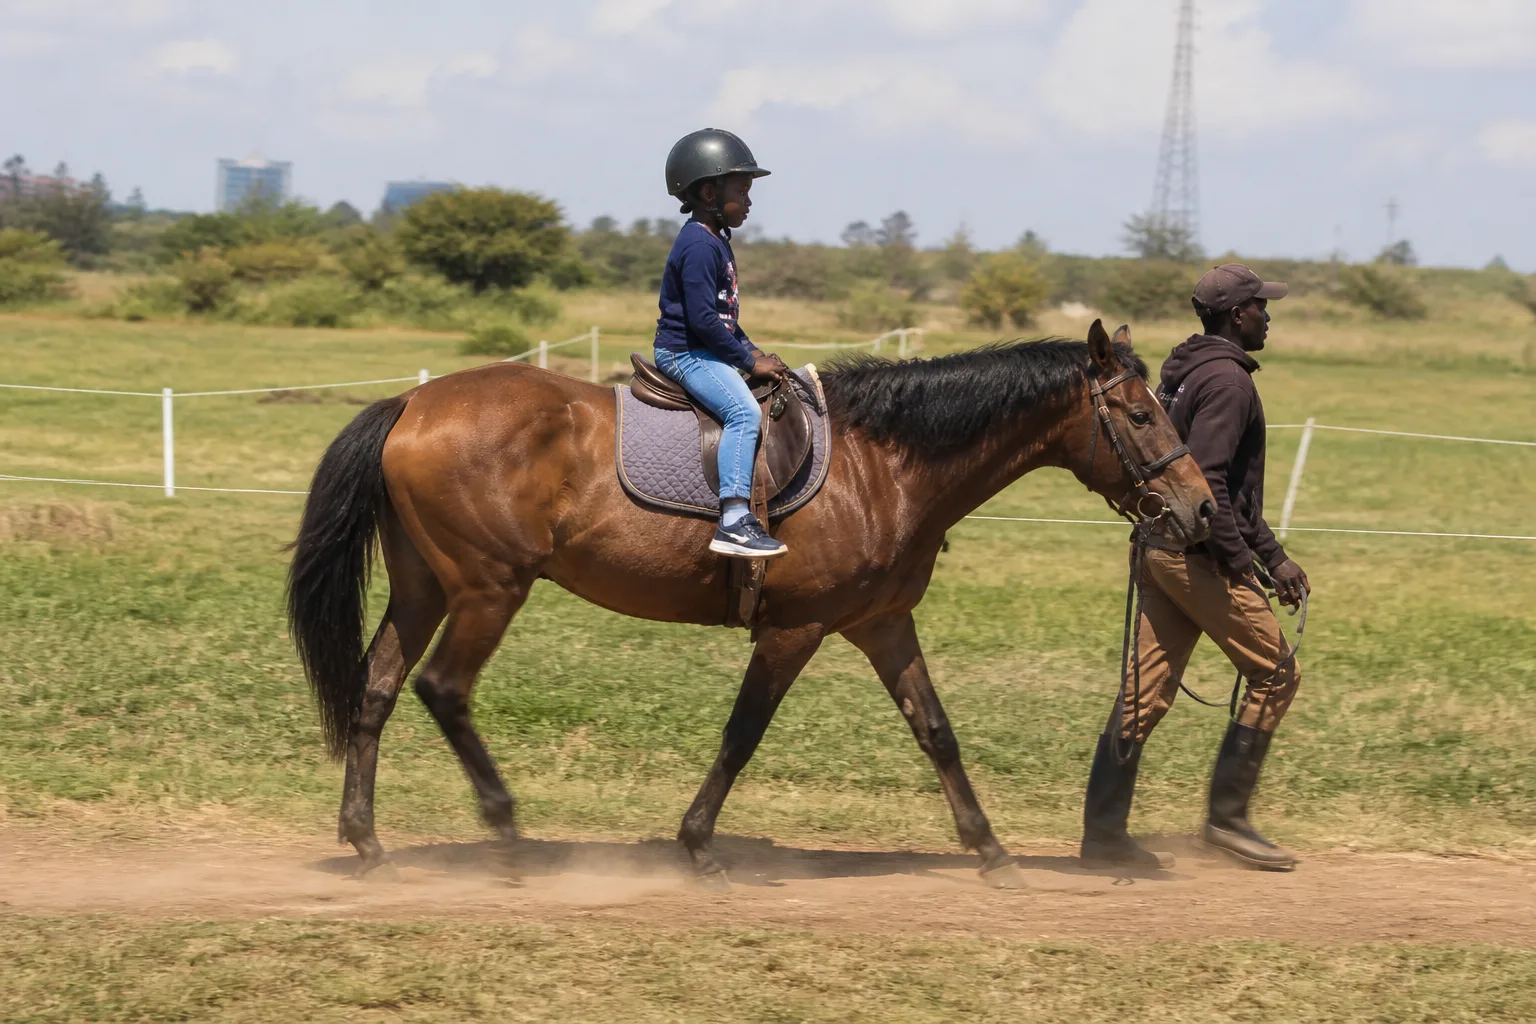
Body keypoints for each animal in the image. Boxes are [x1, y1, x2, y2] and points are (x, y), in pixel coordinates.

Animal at [287, 319, 1215, 888]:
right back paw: (510, 834)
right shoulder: (794, 629)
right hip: (488, 590)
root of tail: (414, 400)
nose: (1202, 512)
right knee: (442, 689)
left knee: (376, 688)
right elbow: (743, 735)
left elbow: (936, 732)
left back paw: (366, 839)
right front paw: (696, 847)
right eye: (1140, 414)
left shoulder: (882, 624)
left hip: (425, 587)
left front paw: (989, 849)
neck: (884, 466)